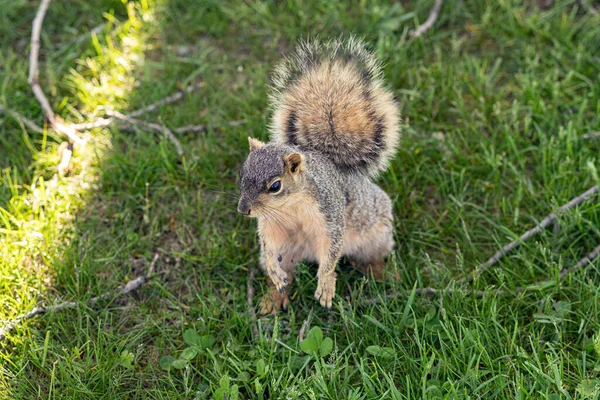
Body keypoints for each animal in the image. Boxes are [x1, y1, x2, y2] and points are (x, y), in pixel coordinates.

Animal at [237, 36, 400, 312]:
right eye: (242, 173)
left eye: (275, 186)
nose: (243, 209)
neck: (290, 205)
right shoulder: (271, 224)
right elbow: (268, 245)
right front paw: (274, 272)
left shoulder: (329, 212)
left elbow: (331, 250)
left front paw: (325, 285)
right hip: (288, 253)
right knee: (288, 275)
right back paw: (274, 296)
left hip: (376, 234)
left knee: (373, 258)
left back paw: (384, 274)